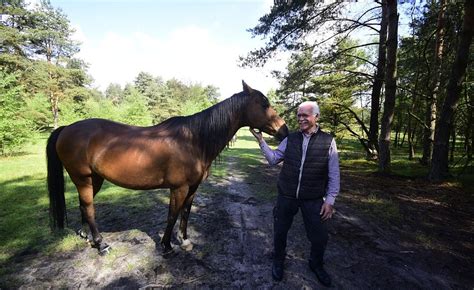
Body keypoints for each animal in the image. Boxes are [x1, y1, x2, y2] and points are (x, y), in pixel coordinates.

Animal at [47, 80, 288, 255]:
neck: (194, 140)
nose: (284, 130)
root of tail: (67, 128)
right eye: (264, 104)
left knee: (83, 207)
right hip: (83, 179)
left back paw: (89, 237)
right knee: (88, 208)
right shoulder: (178, 188)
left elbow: (185, 213)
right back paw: (101, 244)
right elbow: (172, 215)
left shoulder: (192, 188)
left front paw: (184, 241)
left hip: (95, 179)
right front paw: (166, 246)